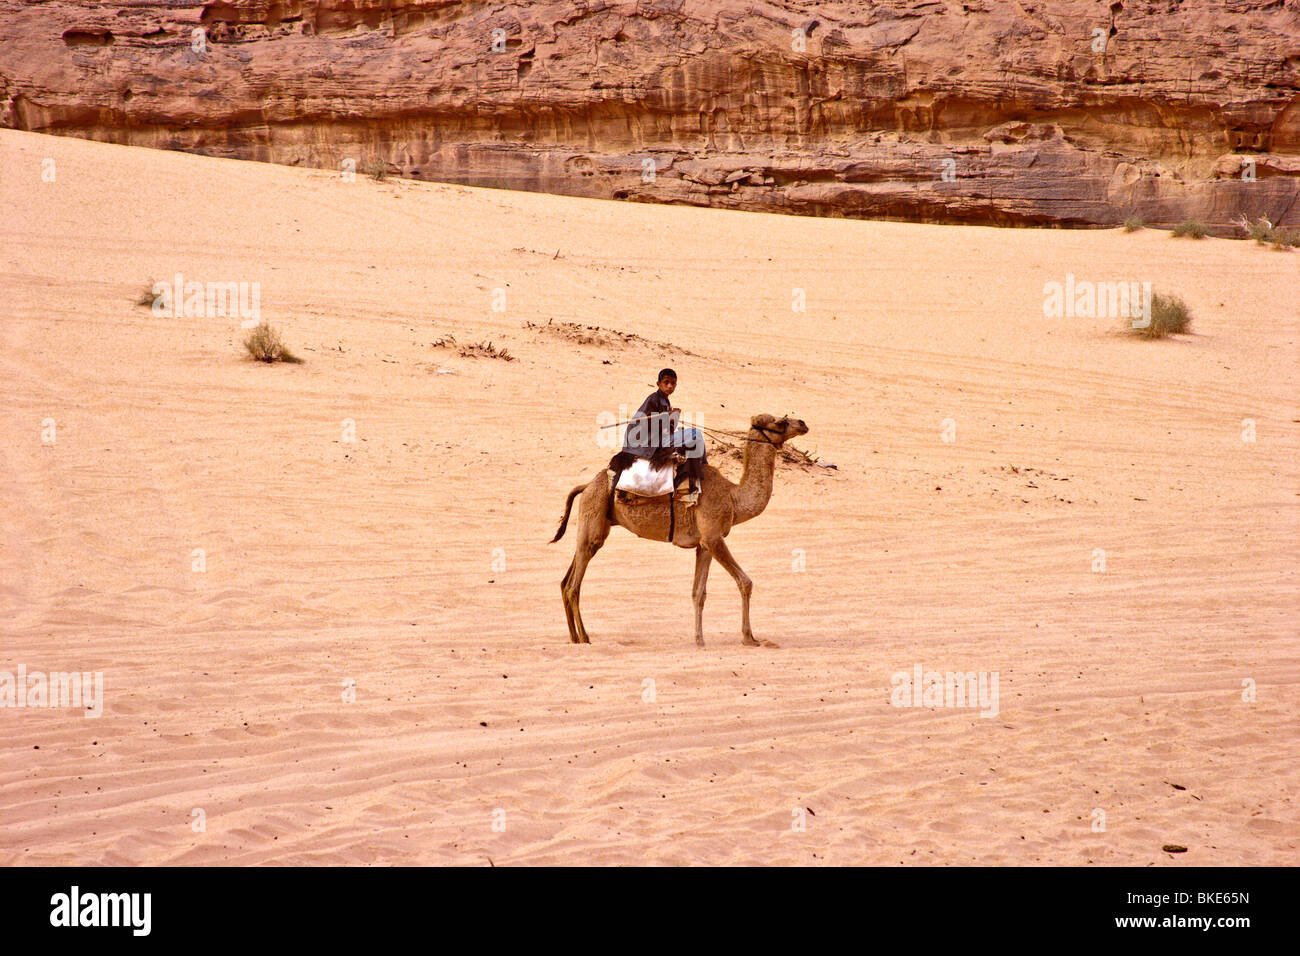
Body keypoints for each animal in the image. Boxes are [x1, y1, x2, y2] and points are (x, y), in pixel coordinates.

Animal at [550, 414, 809, 646]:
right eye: (780, 421)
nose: (803, 423)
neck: (733, 497)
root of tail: (587, 485)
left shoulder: (704, 544)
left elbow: (698, 592)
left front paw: (699, 639)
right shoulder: (714, 537)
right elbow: (745, 582)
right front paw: (749, 638)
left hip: (592, 523)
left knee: (567, 579)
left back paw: (574, 637)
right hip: (594, 517)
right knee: (574, 585)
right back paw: (584, 637)